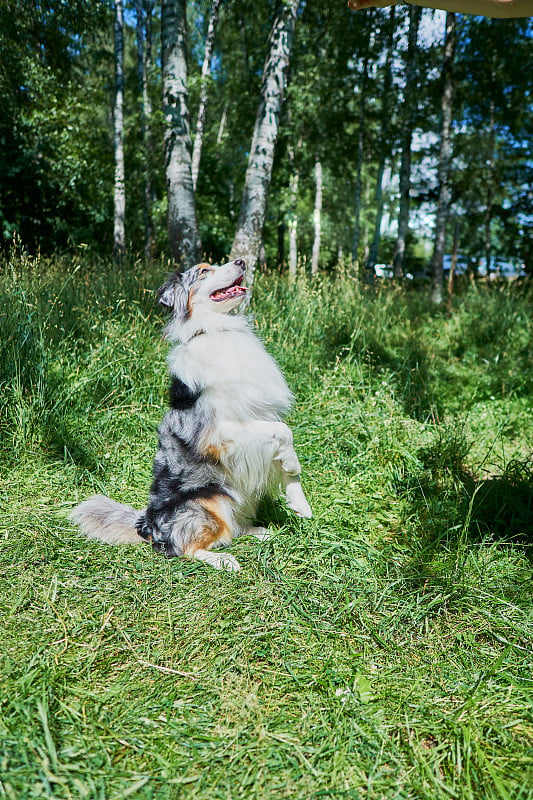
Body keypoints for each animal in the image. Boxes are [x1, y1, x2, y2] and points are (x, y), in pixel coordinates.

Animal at [70, 260, 312, 572]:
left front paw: (300, 503)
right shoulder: (220, 432)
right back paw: (223, 560)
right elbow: (282, 431)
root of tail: (146, 525)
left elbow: (282, 446)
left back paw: (260, 531)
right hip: (208, 503)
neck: (219, 331)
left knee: (232, 528)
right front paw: (294, 465)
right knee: (184, 547)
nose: (241, 261)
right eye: (204, 271)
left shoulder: (259, 418)